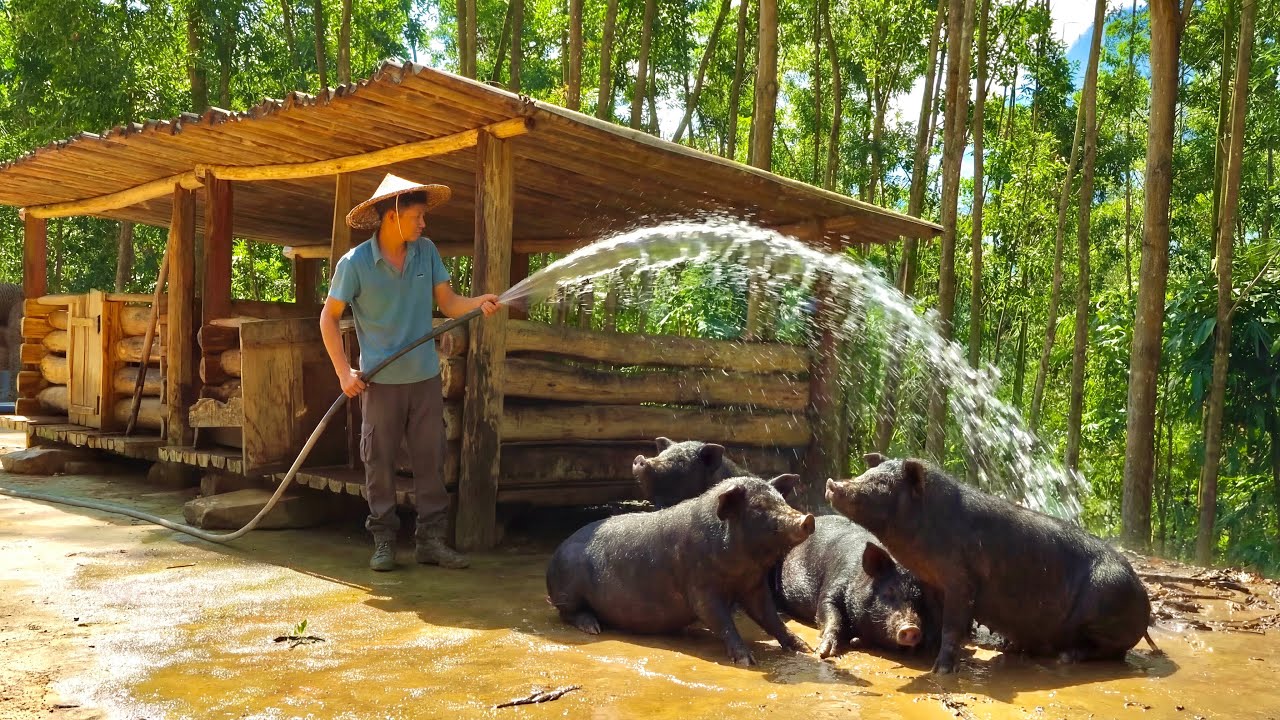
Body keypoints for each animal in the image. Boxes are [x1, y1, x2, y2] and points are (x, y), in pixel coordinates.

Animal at [545, 474, 816, 666]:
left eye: (781, 500)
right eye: (759, 507)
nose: (808, 518)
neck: (740, 568)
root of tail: (556, 553)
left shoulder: (754, 585)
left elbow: (770, 616)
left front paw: (806, 649)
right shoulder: (700, 585)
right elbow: (720, 619)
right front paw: (747, 661)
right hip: (567, 591)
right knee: (568, 613)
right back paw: (593, 628)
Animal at [772, 515, 938, 658]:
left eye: (920, 599)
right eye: (889, 592)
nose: (911, 628)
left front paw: (854, 641)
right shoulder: (831, 588)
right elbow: (831, 615)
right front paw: (824, 653)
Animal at [825, 454, 1157, 675]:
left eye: (883, 483)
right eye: (868, 472)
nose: (832, 483)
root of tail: (1144, 595)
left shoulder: (961, 580)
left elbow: (952, 624)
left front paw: (940, 671)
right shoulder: (932, 582)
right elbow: (934, 616)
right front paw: (925, 656)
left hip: (1107, 609)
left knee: (1113, 651)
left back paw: (1066, 657)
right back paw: (1009, 647)